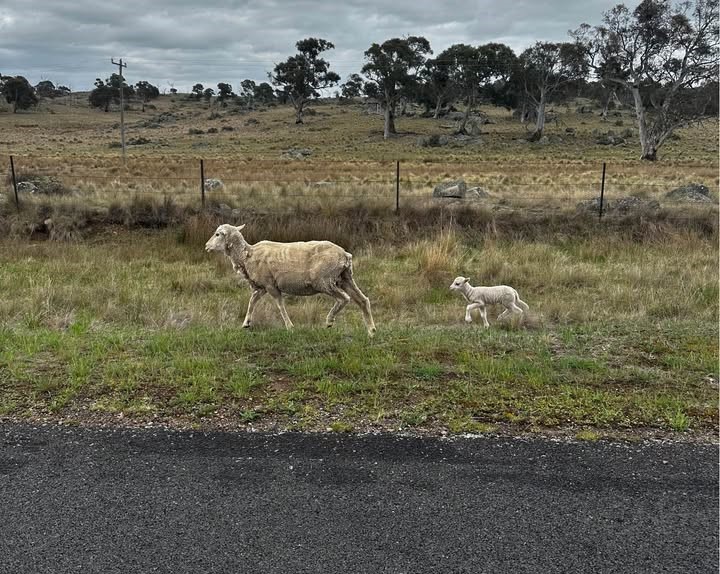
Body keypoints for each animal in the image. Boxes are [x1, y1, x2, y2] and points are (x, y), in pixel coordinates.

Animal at [202, 223, 376, 336]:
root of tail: (345, 255)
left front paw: (290, 327)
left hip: (324, 280)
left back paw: (329, 321)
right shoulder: (261, 286)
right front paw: (246, 323)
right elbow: (252, 302)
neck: (246, 255)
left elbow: (280, 305)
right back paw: (371, 331)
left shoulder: (270, 285)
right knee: (363, 300)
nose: (206, 246)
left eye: (218, 234)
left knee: (344, 298)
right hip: (345, 278)